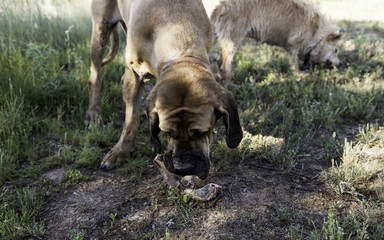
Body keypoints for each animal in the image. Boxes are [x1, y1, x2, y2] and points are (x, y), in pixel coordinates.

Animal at [86, 0, 243, 178]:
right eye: (167, 132)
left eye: (201, 132)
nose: (184, 168)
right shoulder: (134, 74)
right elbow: (130, 119)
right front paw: (120, 151)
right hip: (100, 31)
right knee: (94, 76)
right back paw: (94, 112)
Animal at [207, 0, 342, 85]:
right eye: (336, 50)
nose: (340, 64)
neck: (317, 32)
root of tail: (221, 6)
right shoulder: (293, 45)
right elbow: (294, 62)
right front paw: (299, 74)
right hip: (234, 42)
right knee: (225, 65)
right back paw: (229, 84)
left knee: (219, 61)